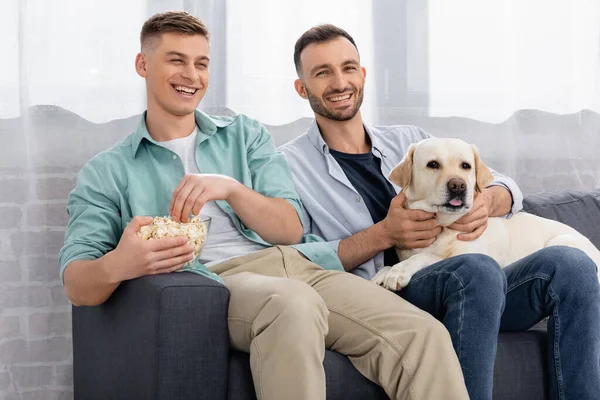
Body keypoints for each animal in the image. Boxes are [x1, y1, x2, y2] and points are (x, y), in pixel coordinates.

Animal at [370, 138, 600, 290]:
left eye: (466, 166)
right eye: (432, 164)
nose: (458, 185)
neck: (443, 226)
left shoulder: (468, 254)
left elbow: (426, 256)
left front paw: (398, 271)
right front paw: (382, 273)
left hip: (562, 242)